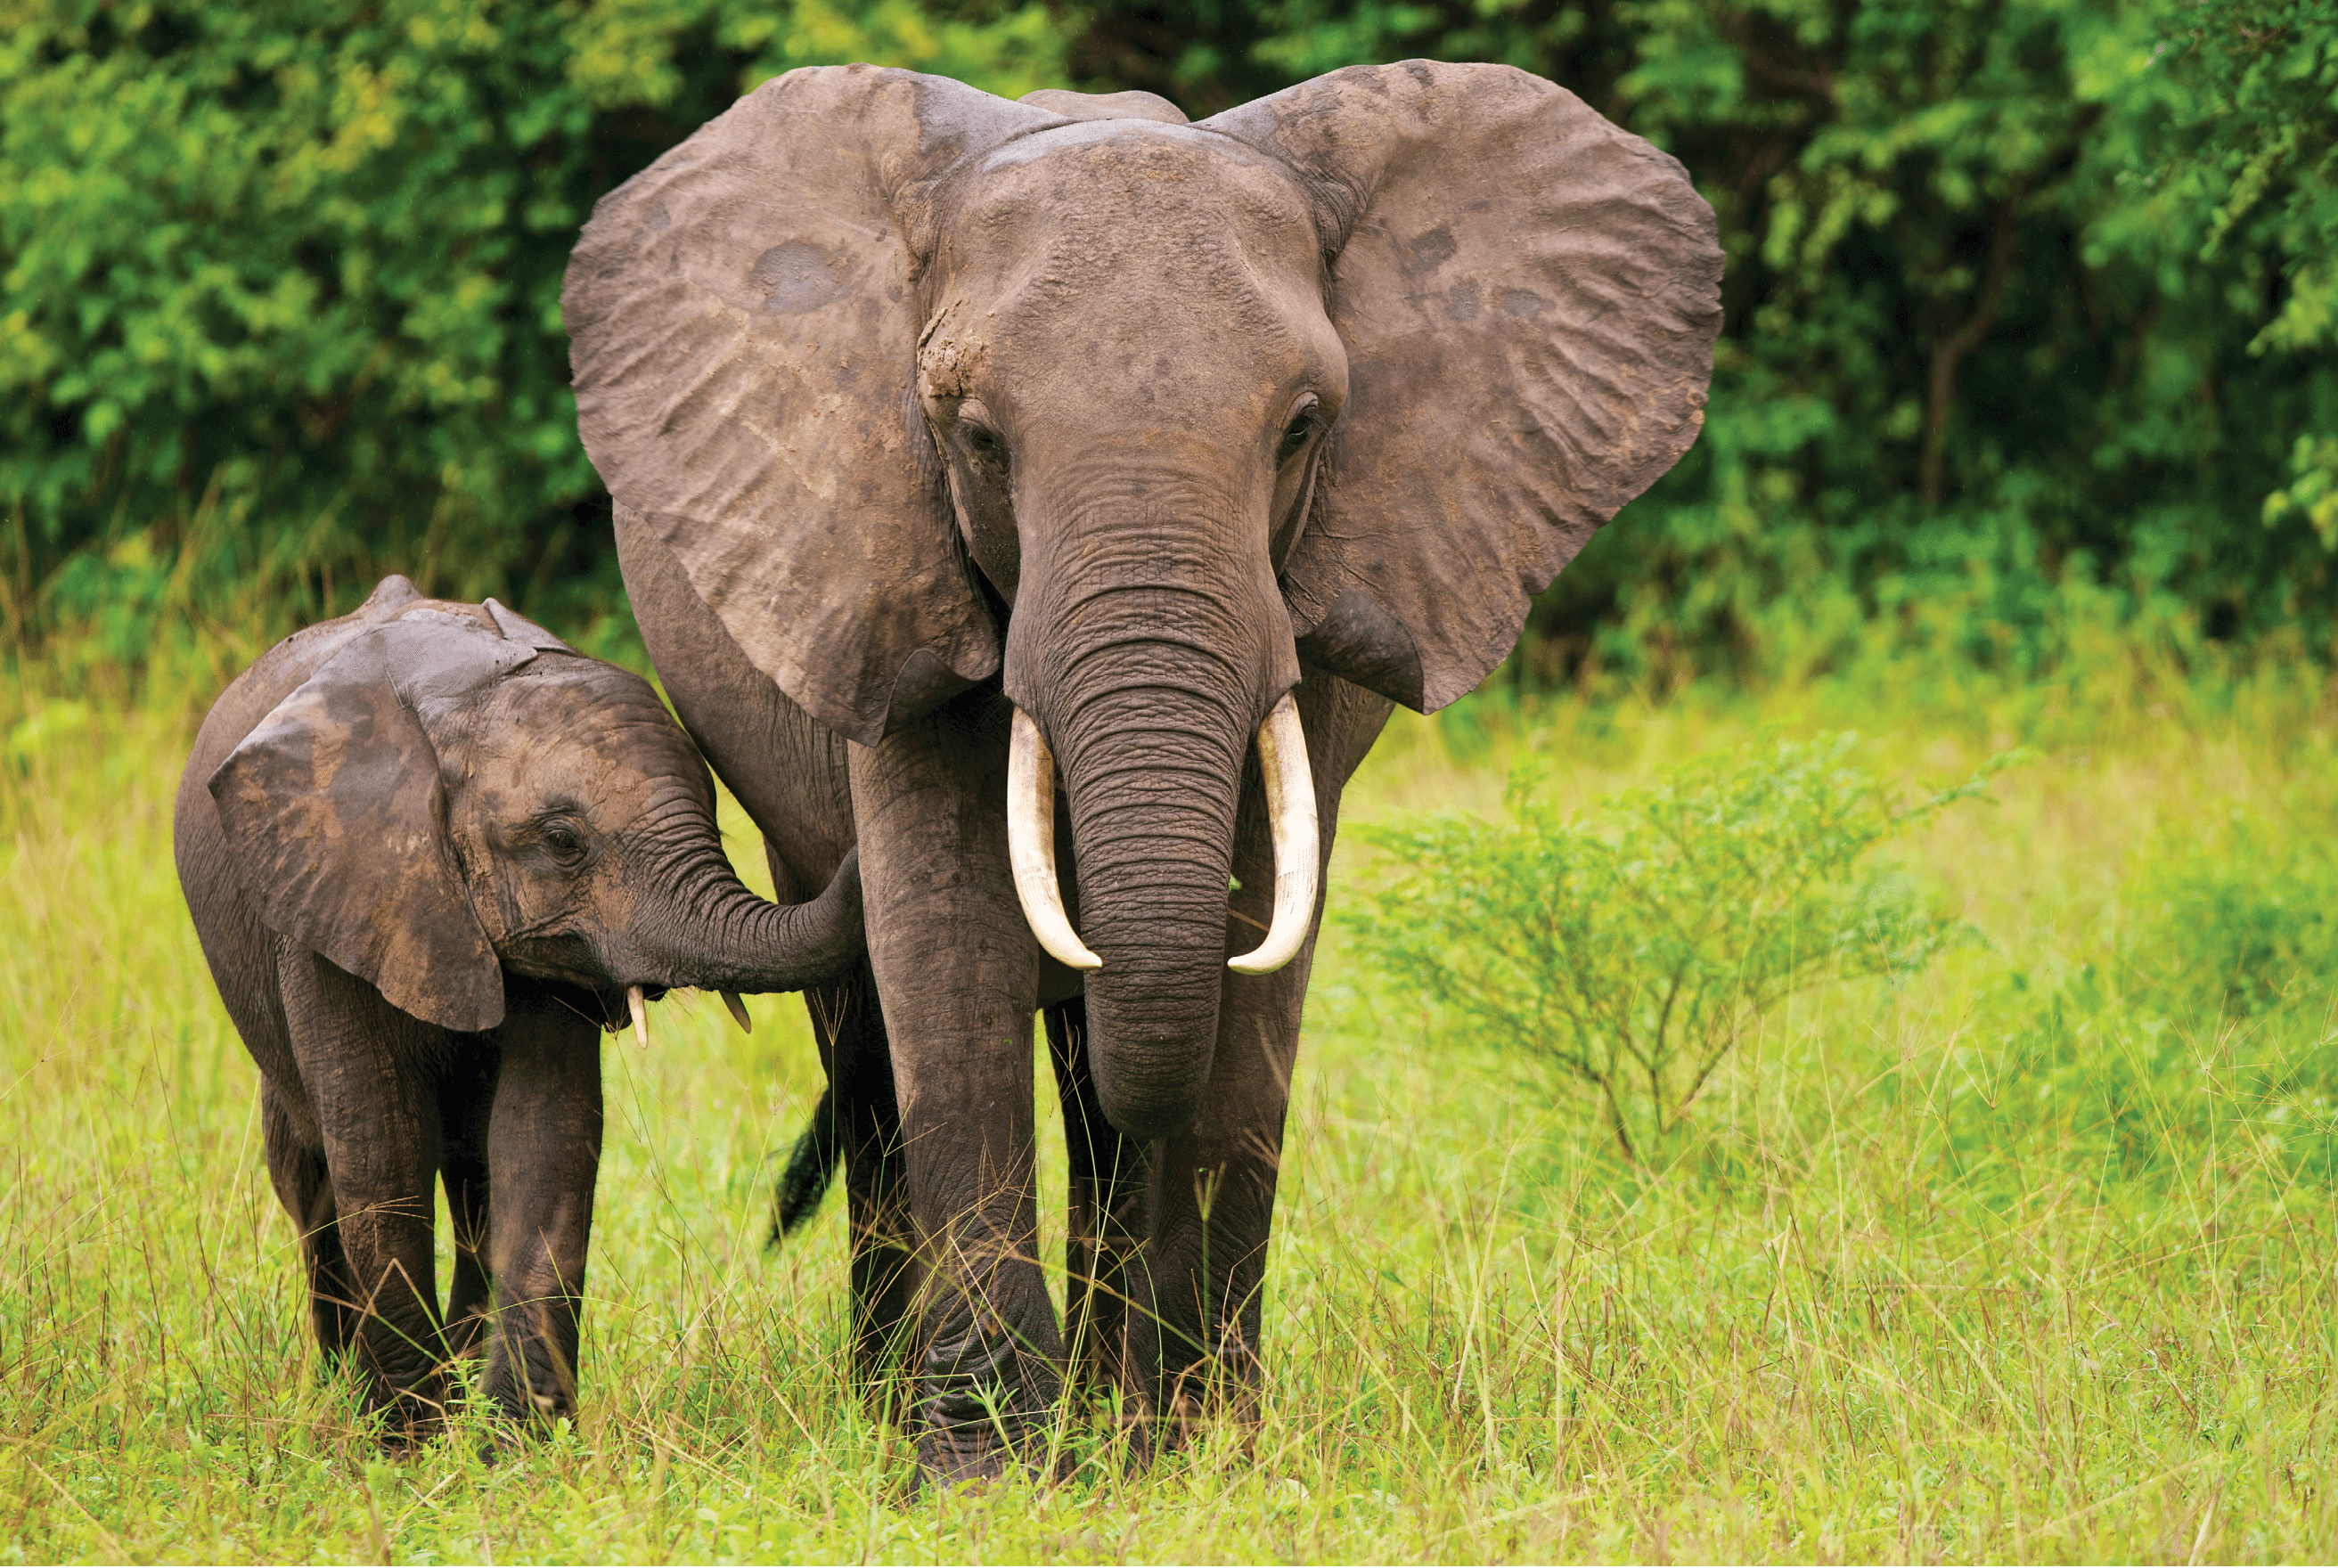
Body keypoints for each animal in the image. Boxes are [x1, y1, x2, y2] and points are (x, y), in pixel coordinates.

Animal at [173, 574, 864, 1439]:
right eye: (564, 841)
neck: (464, 700)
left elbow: (545, 1132)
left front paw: (514, 1442)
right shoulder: (331, 893)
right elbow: (380, 1140)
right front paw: (407, 1443)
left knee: (473, 1178)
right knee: (309, 1176)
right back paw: (345, 1387)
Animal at [561, 60, 1721, 1480]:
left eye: (1303, 430)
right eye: (976, 438)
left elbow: (1255, 958)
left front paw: (1200, 1455)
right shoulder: (883, 559)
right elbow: (948, 951)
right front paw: (979, 1473)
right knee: (874, 1039)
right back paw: (909, 1405)